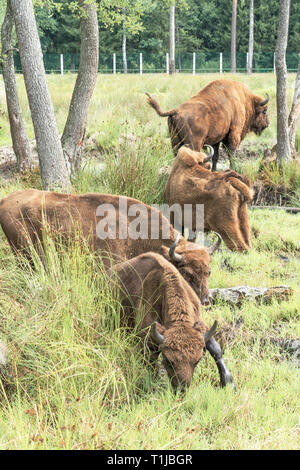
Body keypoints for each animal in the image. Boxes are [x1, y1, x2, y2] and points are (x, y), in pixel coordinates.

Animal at [112, 252, 234, 392]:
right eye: (168, 360)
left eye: (197, 361)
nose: (181, 390)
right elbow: (151, 360)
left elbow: (216, 349)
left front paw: (228, 383)